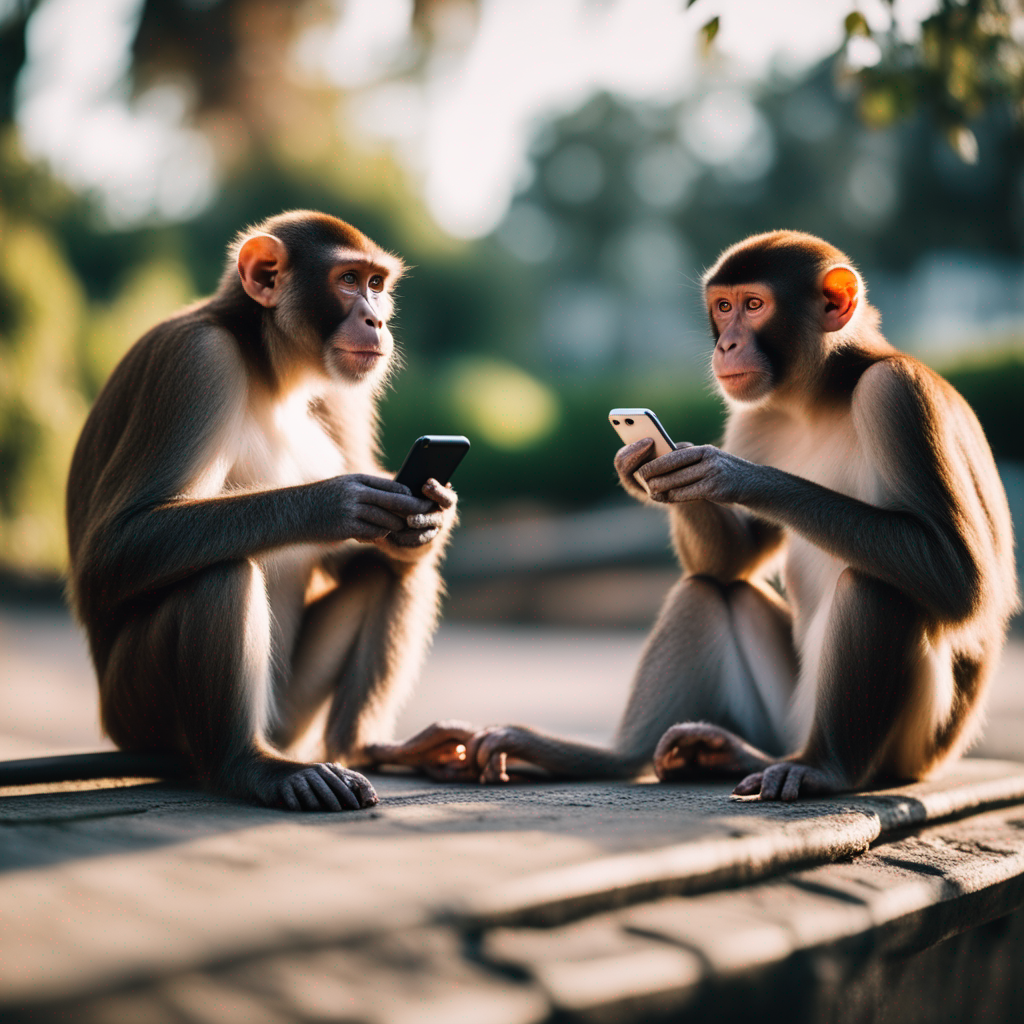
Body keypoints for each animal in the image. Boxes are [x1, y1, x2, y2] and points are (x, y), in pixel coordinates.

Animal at [51, 210, 459, 811]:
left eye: (377, 284)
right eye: (348, 281)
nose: (376, 320)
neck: (271, 369)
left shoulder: (342, 394)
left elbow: (379, 553)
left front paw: (427, 519)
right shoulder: (198, 362)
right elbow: (113, 550)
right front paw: (338, 501)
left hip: (289, 712)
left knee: (394, 572)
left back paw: (364, 747)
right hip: (138, 710)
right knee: (219, 571)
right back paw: (250, 766)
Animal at [364, 230, 1018, 801]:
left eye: (753, 305)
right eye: (723, 307)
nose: (725, 345)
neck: (822, 395)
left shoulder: (897, 395)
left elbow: (960, 577)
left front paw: (731, 475)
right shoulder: (758, 414)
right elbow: (731, 563)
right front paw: (646, 470)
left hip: (913, 744)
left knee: (881, 583)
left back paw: (826, 769)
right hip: (784, 715)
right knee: (709, 589)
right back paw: (628, 756)